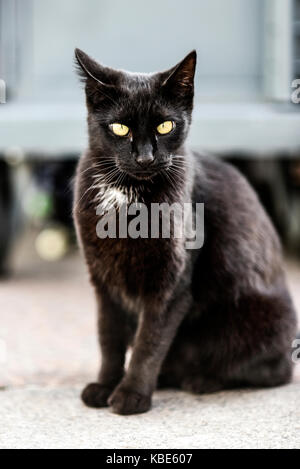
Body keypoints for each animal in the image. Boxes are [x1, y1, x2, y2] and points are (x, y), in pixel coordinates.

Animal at [74, 48, 296, 414]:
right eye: (120, 128)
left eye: (165, 126)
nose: (145, 158)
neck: (128, 194)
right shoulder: (103, 281)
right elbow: (109, 338)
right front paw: (105, 385)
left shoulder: (170, 283)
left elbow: (149, 341)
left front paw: (131, 394)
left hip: (257, 319)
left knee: (272, 371)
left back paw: (202, 380)